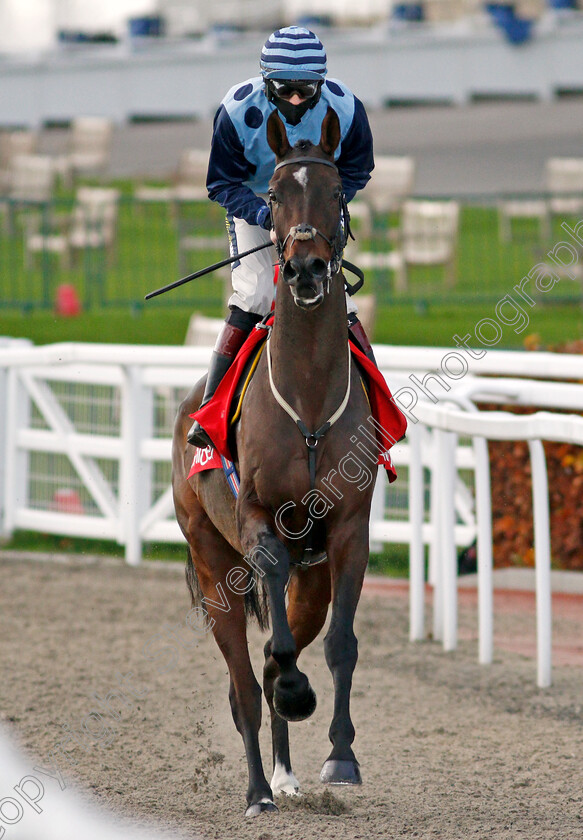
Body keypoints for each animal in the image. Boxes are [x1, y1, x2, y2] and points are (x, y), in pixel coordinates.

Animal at [171, 103, 392, 812]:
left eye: (336, 190)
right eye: (271, 194)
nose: (305, 270)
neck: (309, 399)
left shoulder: (347, 530)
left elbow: (341, 644)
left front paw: (341, 757)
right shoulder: (258, 520)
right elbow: (275, 656)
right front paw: (296, 694)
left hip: (309, 575)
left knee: (275, 658)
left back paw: (286, 775)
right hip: (211, 562)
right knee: (245, 681)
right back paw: (258, 790)